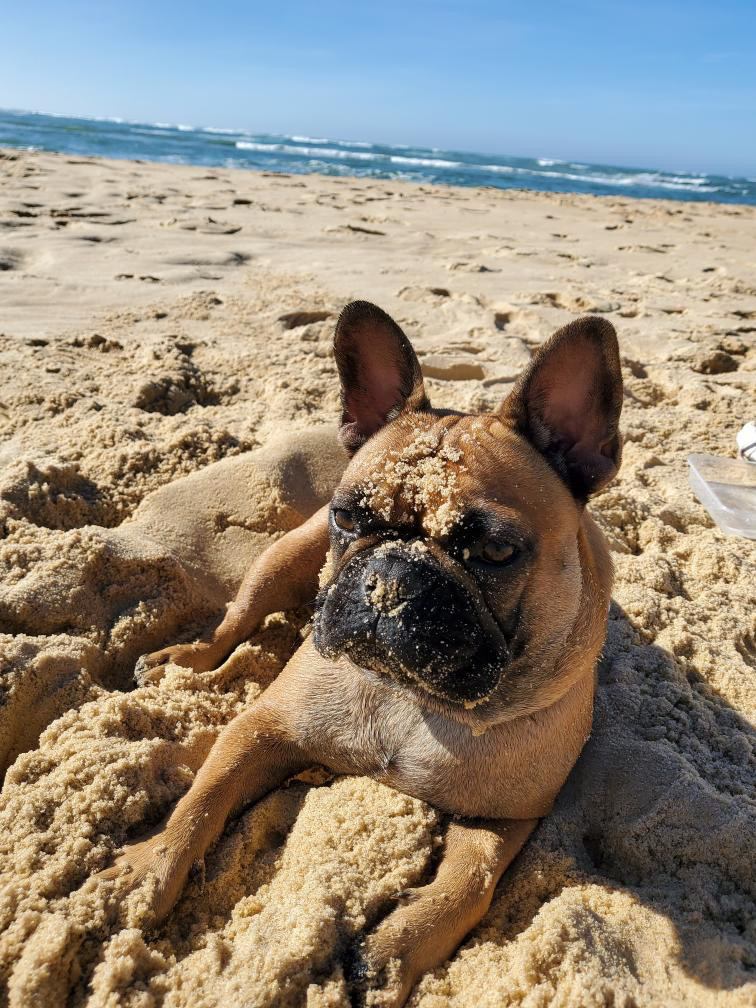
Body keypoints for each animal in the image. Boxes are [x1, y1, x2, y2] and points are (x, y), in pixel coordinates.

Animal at [99, 300, 620, 1008]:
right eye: (350, 517)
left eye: (495, 552)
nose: (392, 577)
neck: (410, 700)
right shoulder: (261, 729)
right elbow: (199, 802)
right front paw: (148, 870)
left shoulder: (502, 817)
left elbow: (472, 882)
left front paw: (396, 950)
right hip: (281, 561)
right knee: (233, 625)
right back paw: (183, 662)